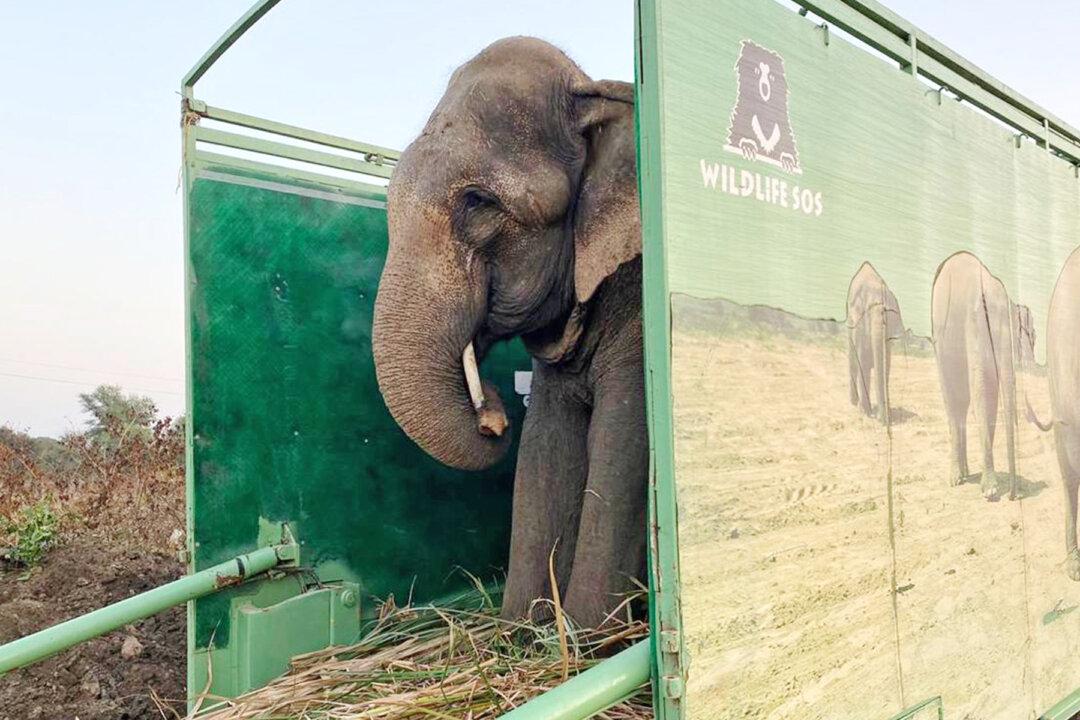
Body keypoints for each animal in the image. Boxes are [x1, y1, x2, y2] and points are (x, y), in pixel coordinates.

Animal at [371, 37, 645, 628]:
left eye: (478, 202)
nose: (493, 415)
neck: (594, 90)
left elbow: (623, 442)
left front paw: (589, 639)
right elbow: (545, 449)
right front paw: (524, 629)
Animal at [846, 262, 904, 424]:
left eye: (887, 313)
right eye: (866, 312)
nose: (883, 421)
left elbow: (885, 365)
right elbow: (863, 364)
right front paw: (866, 413)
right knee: (854, 363)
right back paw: (854, 404)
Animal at [931, 251, 1037, 501]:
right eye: (990, 329)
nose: (1015, 496)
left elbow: (989, 395)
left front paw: (990, 487)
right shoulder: (973, 325)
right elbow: (981, 391)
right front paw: (990, 491)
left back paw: (966, 473)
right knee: (952, 398)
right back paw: (956, 478)